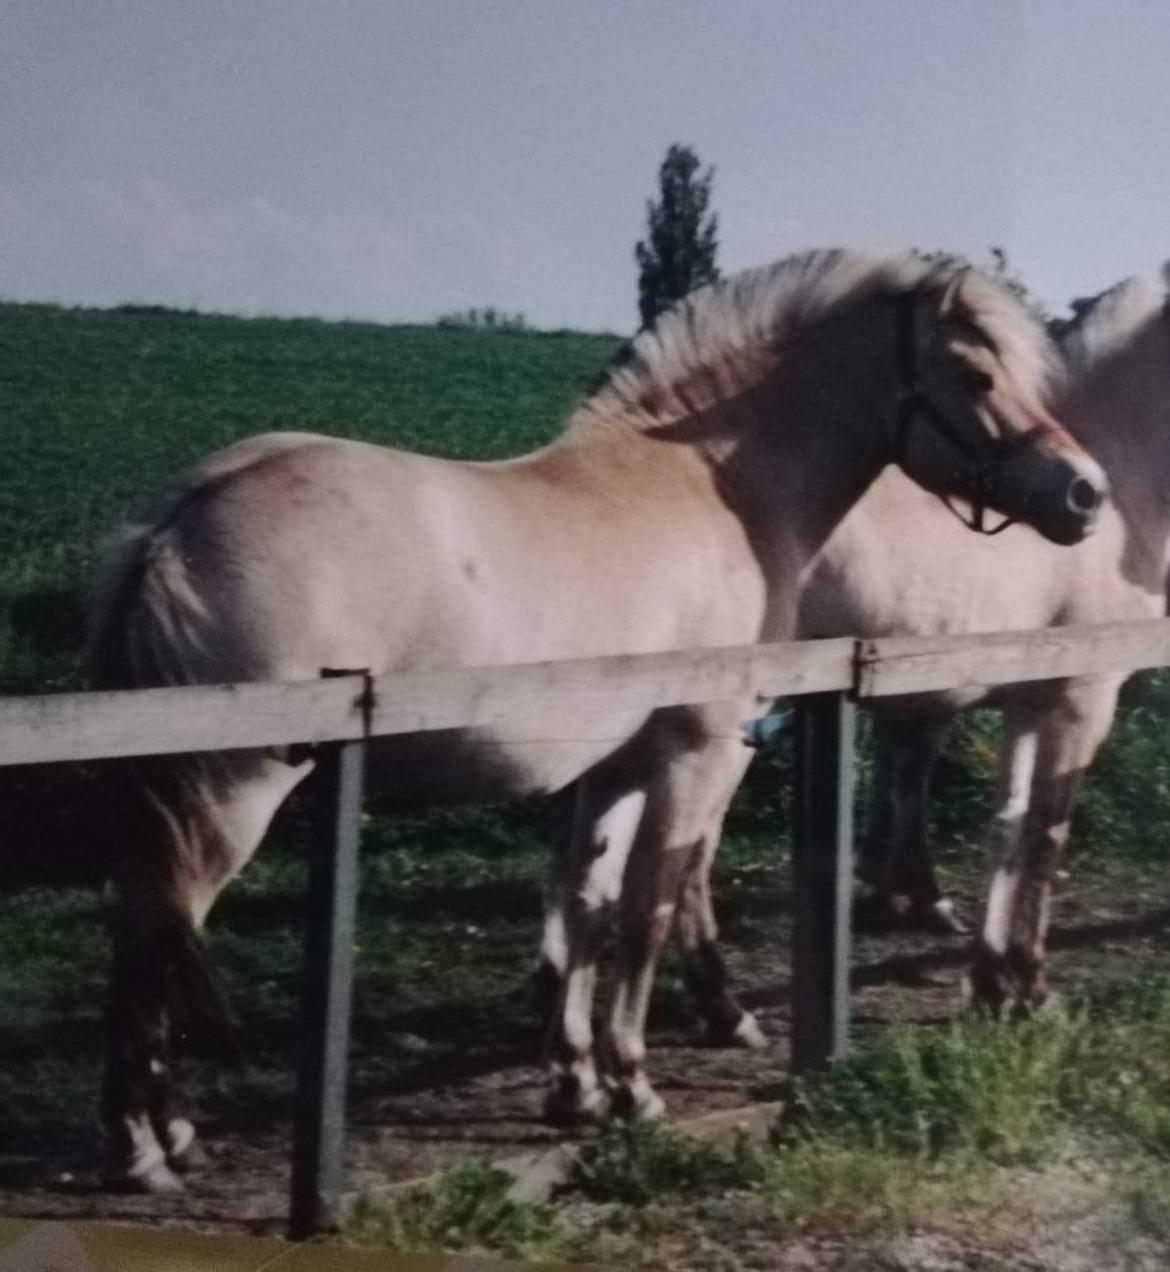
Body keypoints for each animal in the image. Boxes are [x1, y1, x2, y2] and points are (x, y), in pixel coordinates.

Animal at [87, 250, 1103, 1190]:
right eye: (976, 373)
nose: (1084, 494)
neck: (714, 486)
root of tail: (174, 522)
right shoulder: (694, 753)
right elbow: (649, 910)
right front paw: (633, 1088)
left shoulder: (613, 762)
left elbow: (587, 906)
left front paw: (573, 1084)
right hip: (231, 796)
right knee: (151, 939)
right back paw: (144, 1151)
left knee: (145, 934)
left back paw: (168, 1134)